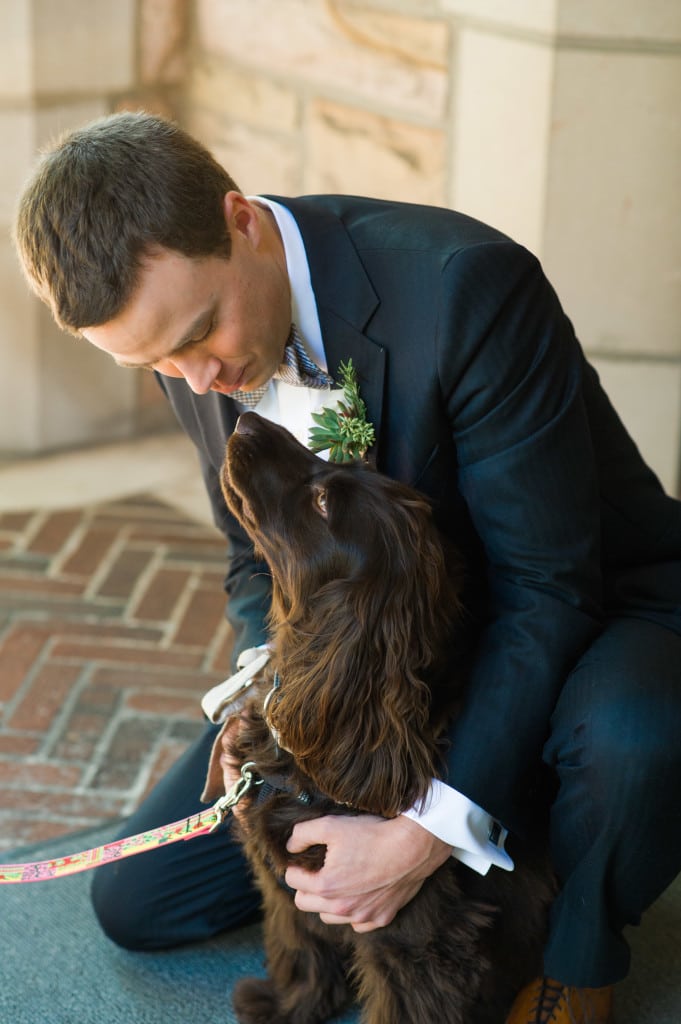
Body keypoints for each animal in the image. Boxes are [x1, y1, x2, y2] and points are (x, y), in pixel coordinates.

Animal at [205, 411, 552, 1019]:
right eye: (345, 461)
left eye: (322, 502)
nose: (245, 420)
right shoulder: (286, 886)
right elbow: (300, 946)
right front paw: (288, 1006)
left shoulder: (416, 939)